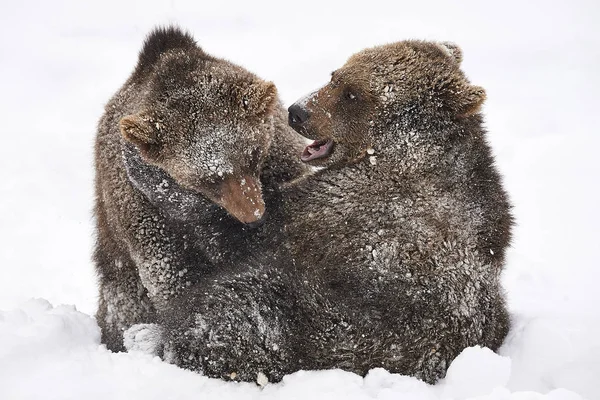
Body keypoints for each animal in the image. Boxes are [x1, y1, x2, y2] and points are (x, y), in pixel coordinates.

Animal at [94, 25, 312, 352]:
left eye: (252, 155)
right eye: (208, 180)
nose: (254, 215)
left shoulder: (280, 160)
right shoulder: (143, 208)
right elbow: (171, 274)